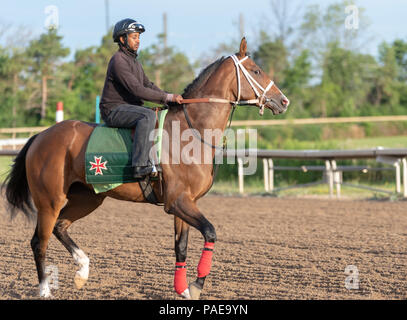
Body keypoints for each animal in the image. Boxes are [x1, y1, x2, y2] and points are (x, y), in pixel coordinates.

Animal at [3, 38, 290, 300]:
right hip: (49, 201)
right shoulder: (177, 202)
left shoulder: (186, 202)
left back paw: (82, 271)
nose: (283, 100)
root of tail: (40, 136)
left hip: (88, 197)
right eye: (256, 70)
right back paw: (44, 290)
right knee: (39, 241)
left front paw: (183, 289)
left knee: (60, 227)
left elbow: (181, 247)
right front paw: (196, 285)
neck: (192, 131)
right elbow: (210, 232)